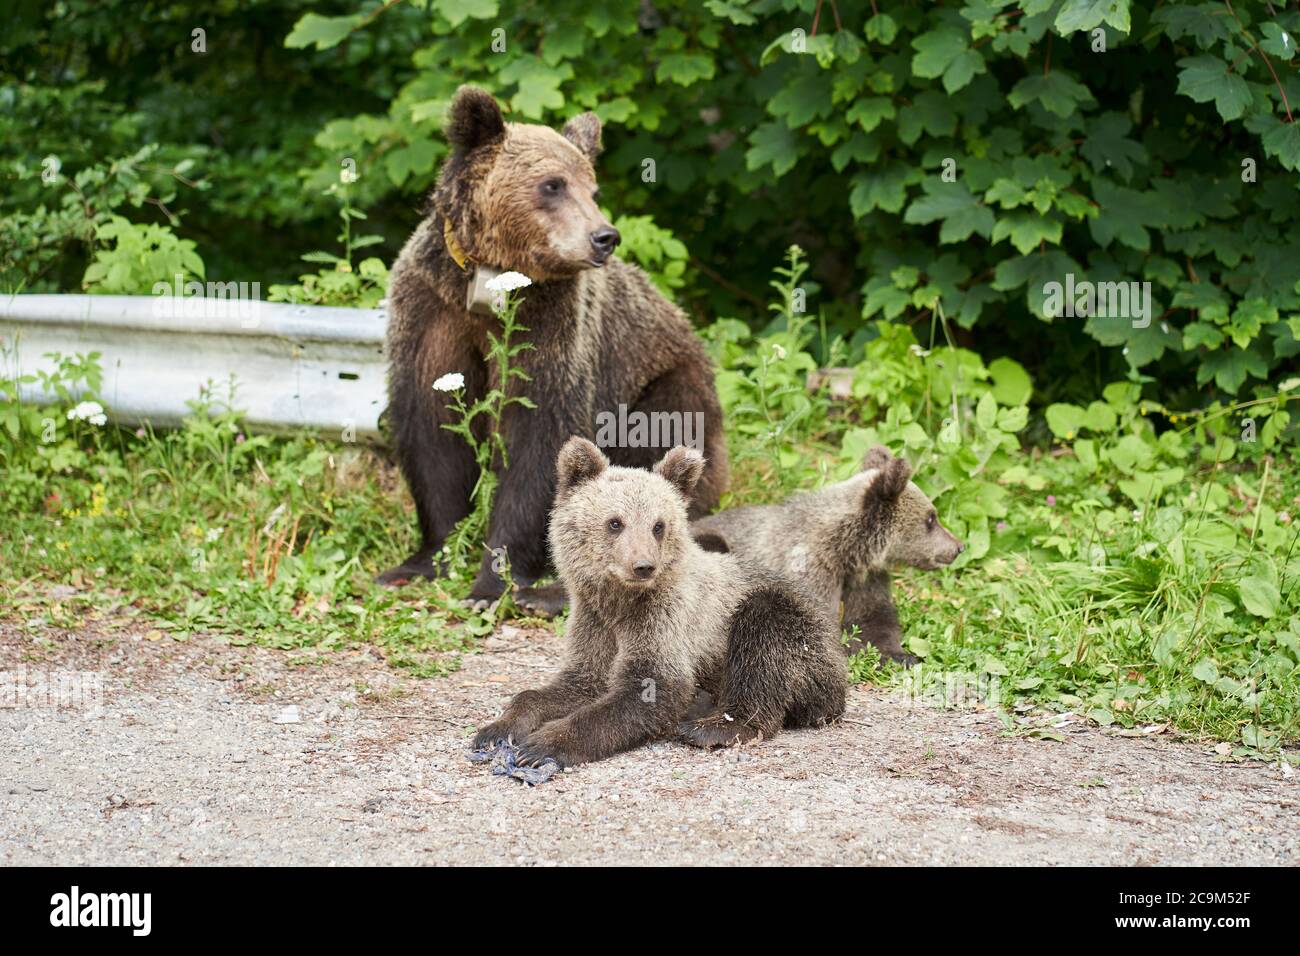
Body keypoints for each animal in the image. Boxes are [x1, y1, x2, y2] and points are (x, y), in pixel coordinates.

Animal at [378, 86, 728, 612]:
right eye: (553, 184)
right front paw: (421, 561)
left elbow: (542, 436)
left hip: (667, 382)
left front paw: (492, 583)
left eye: (593, 190)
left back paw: (551, 594)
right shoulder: (433, 309)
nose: (604, 236)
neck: (490, 284)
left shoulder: (552, 325)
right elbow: (433, 429)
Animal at [470, 438, 846, 768]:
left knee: (764, 635)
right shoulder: (593, 620)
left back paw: (714, 726)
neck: (619, 601)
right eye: (615, 522)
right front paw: (497, 730)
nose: (643, 566)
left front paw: (542, 745)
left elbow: (651, 689)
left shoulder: (664, 618)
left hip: (799, 634)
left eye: (658, 525)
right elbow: (573, 682)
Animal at [690, 445, 963, 665]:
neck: (845, 550)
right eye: (931, 518)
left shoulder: (865, 579)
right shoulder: (810, 571)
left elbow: (874, 620)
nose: (958, 547)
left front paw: (901, 655)